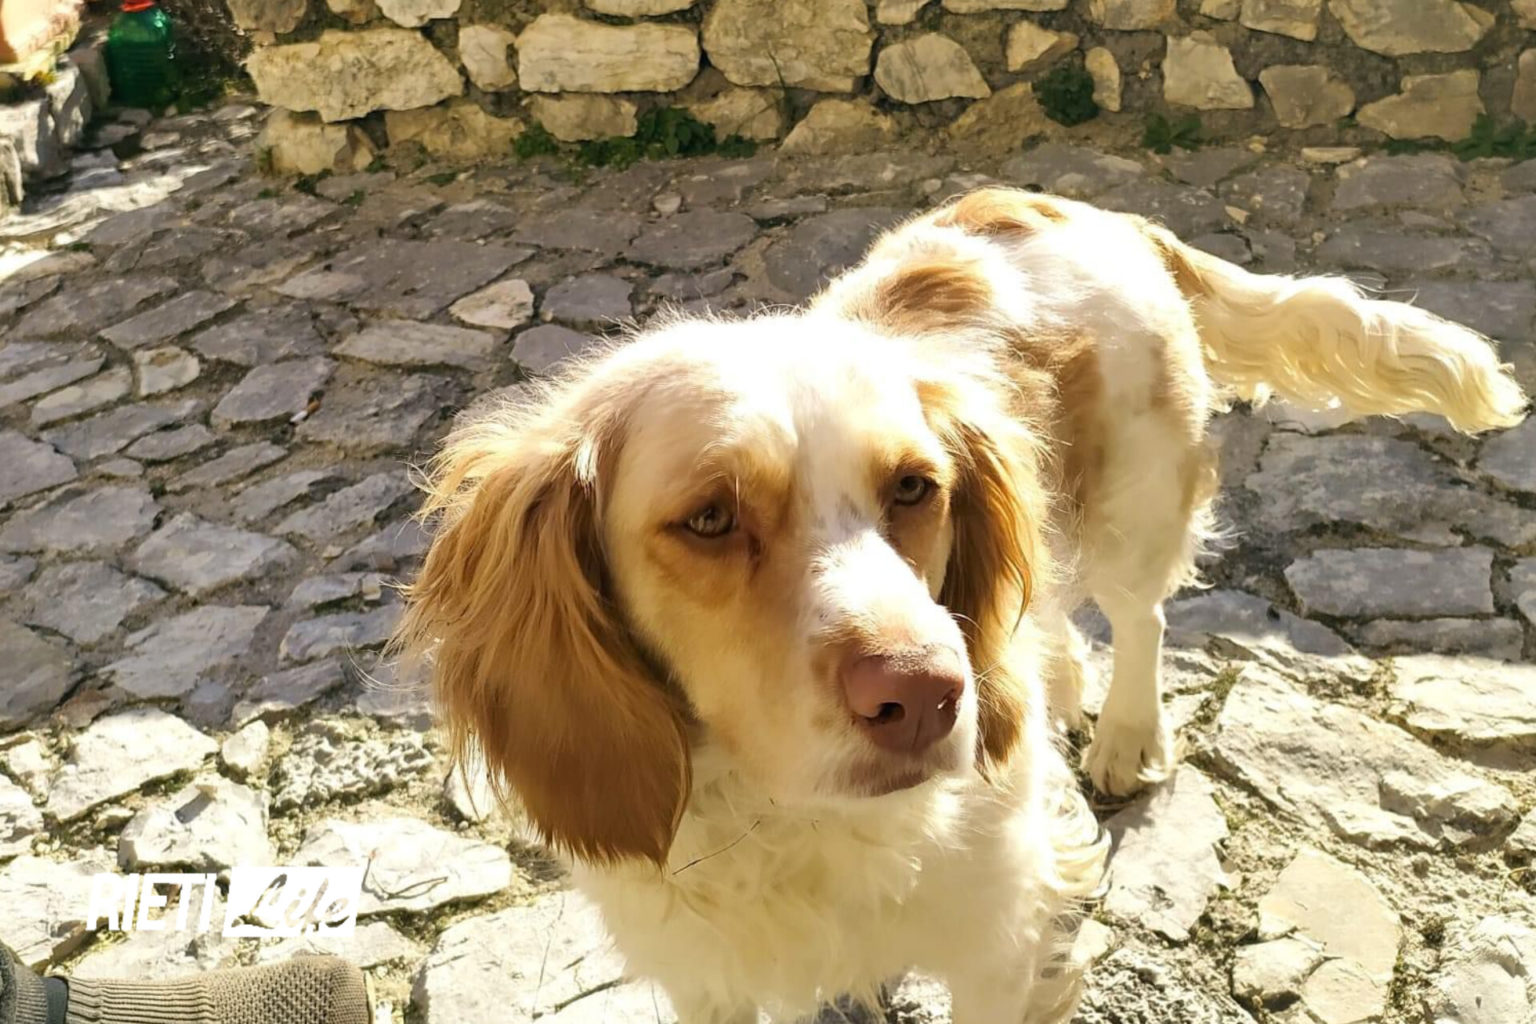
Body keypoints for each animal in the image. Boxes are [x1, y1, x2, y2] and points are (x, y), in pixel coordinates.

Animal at [392, 188, 1526, 1023]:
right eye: (710, 518)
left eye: (913, 488)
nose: (931, 696)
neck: (794, 824)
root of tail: (1098, 210)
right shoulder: (713, 976)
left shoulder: (998, 942)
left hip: (1136, 511)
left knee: (1142, 616)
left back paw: (1126, 735)